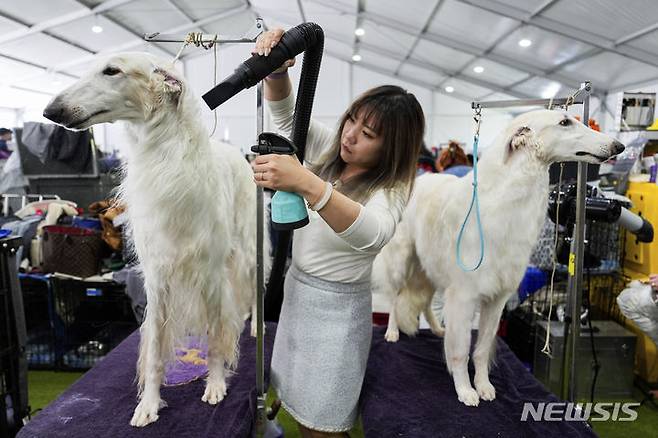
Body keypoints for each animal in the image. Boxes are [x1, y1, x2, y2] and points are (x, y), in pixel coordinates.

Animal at [42, 53, 268, 426]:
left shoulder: (210, 274)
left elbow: (215, 337)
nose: (51, 111)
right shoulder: (158, 278)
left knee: (251, 289)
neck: (167, 161)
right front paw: (148, 404)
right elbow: (154, 352)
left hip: (247, 249)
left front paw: (216, 383)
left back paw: (251, 326)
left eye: (112, 70)